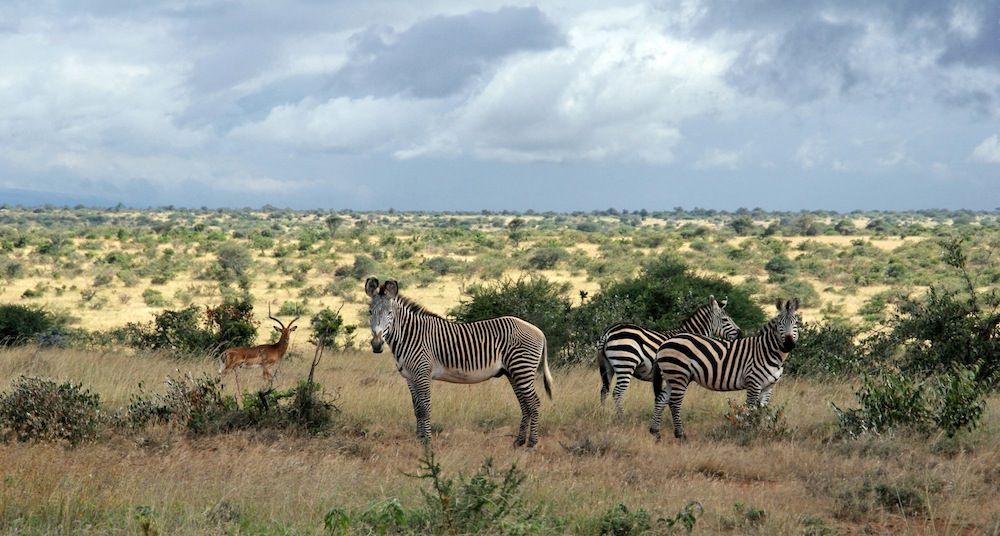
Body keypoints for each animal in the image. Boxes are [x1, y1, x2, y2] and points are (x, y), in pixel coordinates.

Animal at [366, 278, 556, 446]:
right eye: (370, 312)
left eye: (390, 313)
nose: (376, 345)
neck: (410, 336)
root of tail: (539, 331)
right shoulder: (410, 377)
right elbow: (417, 409)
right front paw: (419, 439)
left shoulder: (423, 374)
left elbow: (425, 408)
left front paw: (427, 441)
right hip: (513, 372)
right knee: (525, 404)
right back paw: (519, 441)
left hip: (522, 369)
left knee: (534, 403)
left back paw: (532, 443)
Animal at [592, 298, 744, 414]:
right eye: (725, 319)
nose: (740, 334)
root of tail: (608, 333)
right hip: (625, 364)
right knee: (617, 393)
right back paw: (621, 417)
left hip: (609, 366)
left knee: (604, 391)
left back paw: (602, 414)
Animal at [648, 298, 804, 440]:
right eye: (779, 323)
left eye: (796, 323)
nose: (789, 344)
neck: (767, 351)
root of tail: (665, 343)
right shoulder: (753, 383)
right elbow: (750, 410)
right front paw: (748, 432)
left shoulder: (768, 387)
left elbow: (762, 410)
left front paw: (760, 431)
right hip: (679, 375)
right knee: (674, 403)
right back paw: (680, 434)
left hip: (672, 377)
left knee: (661, 399)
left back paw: (655, 431)